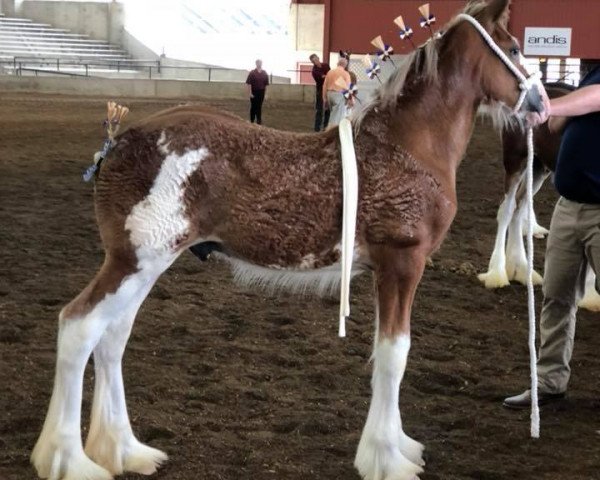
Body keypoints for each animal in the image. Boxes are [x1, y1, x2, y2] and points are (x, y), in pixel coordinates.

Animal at [31, 0, 548, 480]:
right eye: (515, 49)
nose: (542, 104)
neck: (408, 147)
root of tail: (118, 143)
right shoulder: (403, 263)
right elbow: (394, 354)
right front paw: (386, 458)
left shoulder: (386, 269)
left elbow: (387, 352)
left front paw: (399, 445)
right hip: (134, 262)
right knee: (79, 327)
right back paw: (68, 460)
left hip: (145, 266)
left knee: (112, 337)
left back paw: (124, 450)